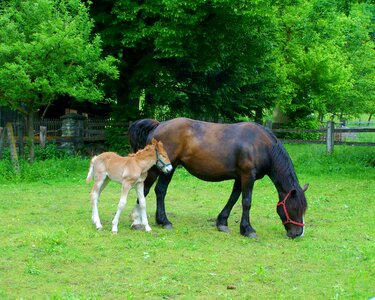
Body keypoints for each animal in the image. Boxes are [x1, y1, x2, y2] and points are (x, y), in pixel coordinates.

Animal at [129, 118, 308, 238]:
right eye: (294, 208)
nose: (298, 233)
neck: (260, 145)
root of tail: (159, 125)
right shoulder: (248, 176)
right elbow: (246, 202)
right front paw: (248, 229)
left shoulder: (240, 178)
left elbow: (234, 198)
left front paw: (222, 222)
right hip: (159, 169)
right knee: (146, 190)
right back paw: (140, 221)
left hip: (168, 169)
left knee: (159, 191)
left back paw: (161, 221)